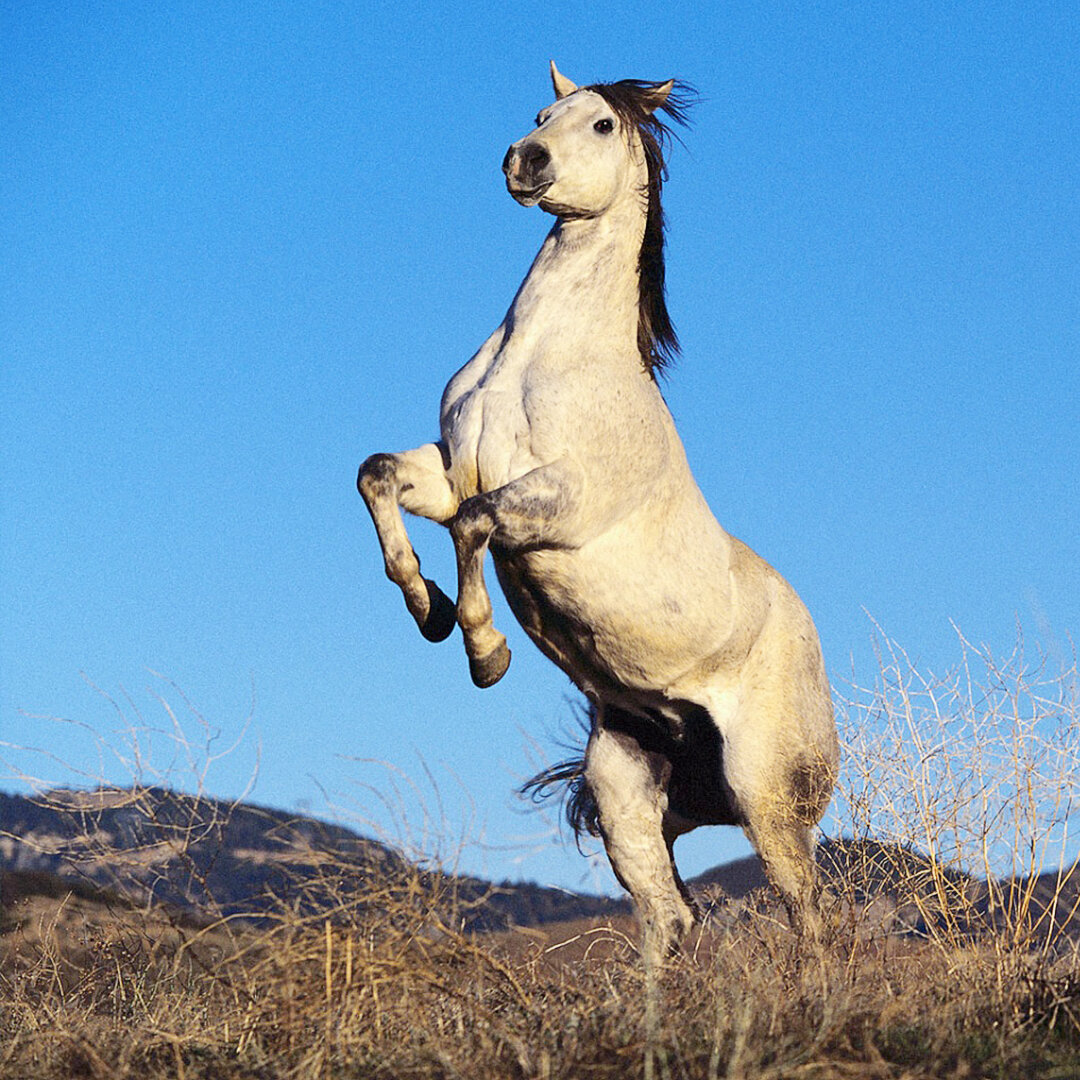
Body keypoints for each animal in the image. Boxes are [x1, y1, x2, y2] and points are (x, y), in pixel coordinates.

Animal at [358, 61, 838, 963]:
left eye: (603, 125)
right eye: (542, 112)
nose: (525, 161)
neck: (540, 355)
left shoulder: (561, 503)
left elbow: (476, 523)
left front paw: (484, 652)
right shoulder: (446, 469)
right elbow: (379, 477)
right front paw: (426, 606)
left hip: (768, 802)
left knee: (814, 922)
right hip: (626, 790)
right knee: (671, 919)